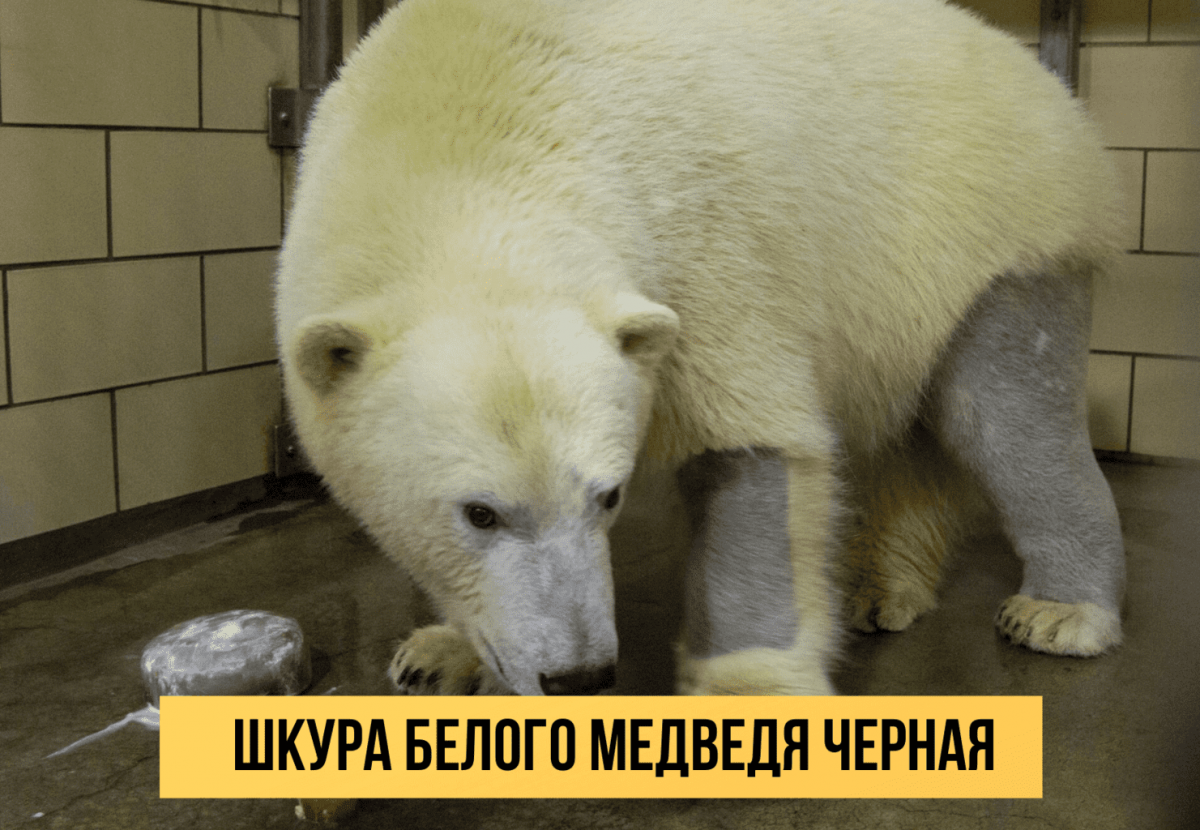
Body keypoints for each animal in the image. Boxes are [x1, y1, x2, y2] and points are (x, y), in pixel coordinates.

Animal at [276, 0, 1127, 696]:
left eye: (609, 495)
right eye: (479, 513)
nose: (581, 676)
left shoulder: (703, 239)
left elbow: (751, 442)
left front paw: (749, 686)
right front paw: (439, 651)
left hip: (992, 242)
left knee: (1008, 420)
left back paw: (1061, 612)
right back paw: (879, 590)